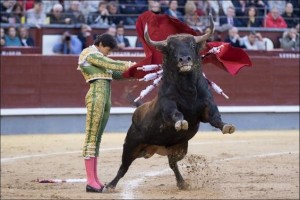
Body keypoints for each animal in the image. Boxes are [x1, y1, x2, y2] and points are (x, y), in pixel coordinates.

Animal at [106, 16, 237, 191]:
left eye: (192, 45)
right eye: (171, 49)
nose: (184, 59)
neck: (188, 89)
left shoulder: (207, 106)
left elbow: (215, 118)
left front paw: (227, 127)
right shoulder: (168, 106)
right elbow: (176, 114)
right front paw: (181, 123)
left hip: (179, 148)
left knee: (173, 164)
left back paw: (182, 183)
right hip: (130, 145)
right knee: (123, 167)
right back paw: (109, 185)